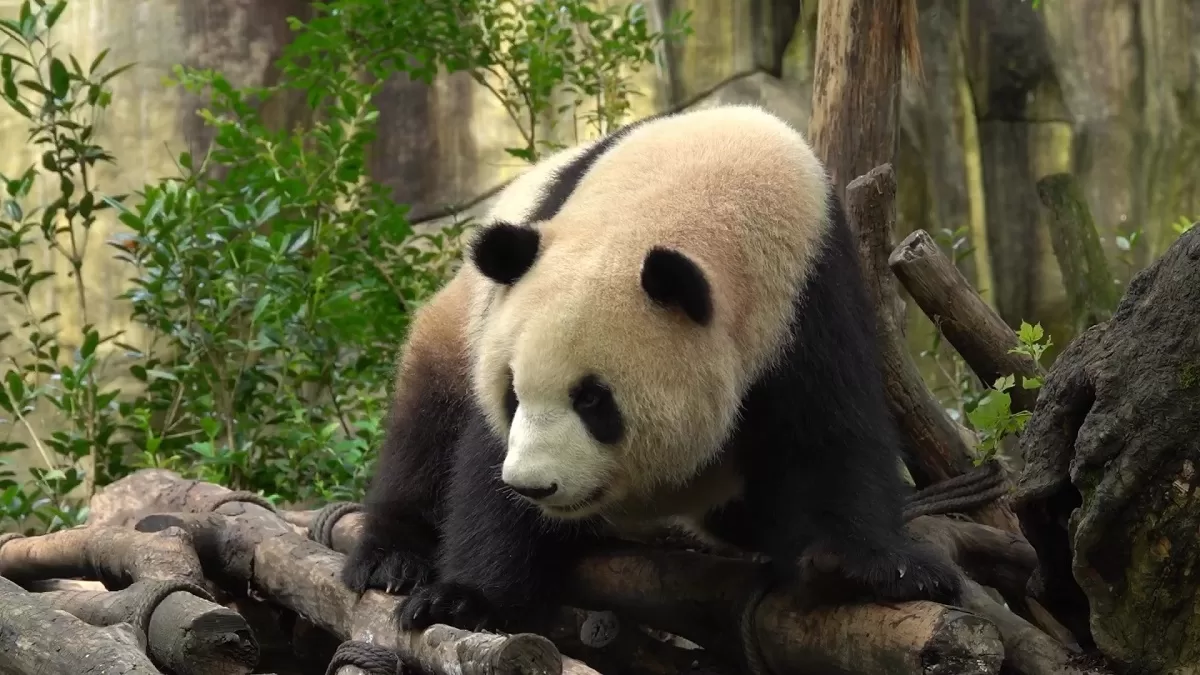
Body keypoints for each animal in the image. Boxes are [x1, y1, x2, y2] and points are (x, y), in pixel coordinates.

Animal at [341, 104, 962, 633]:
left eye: (593, 400)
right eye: (512, 394)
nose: (533, 486)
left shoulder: (811, 295)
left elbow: (828, 432)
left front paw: (878, 569)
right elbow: (481, 463)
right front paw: (464, 599)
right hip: (456, 322)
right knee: (423, 431)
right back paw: (390, 561)